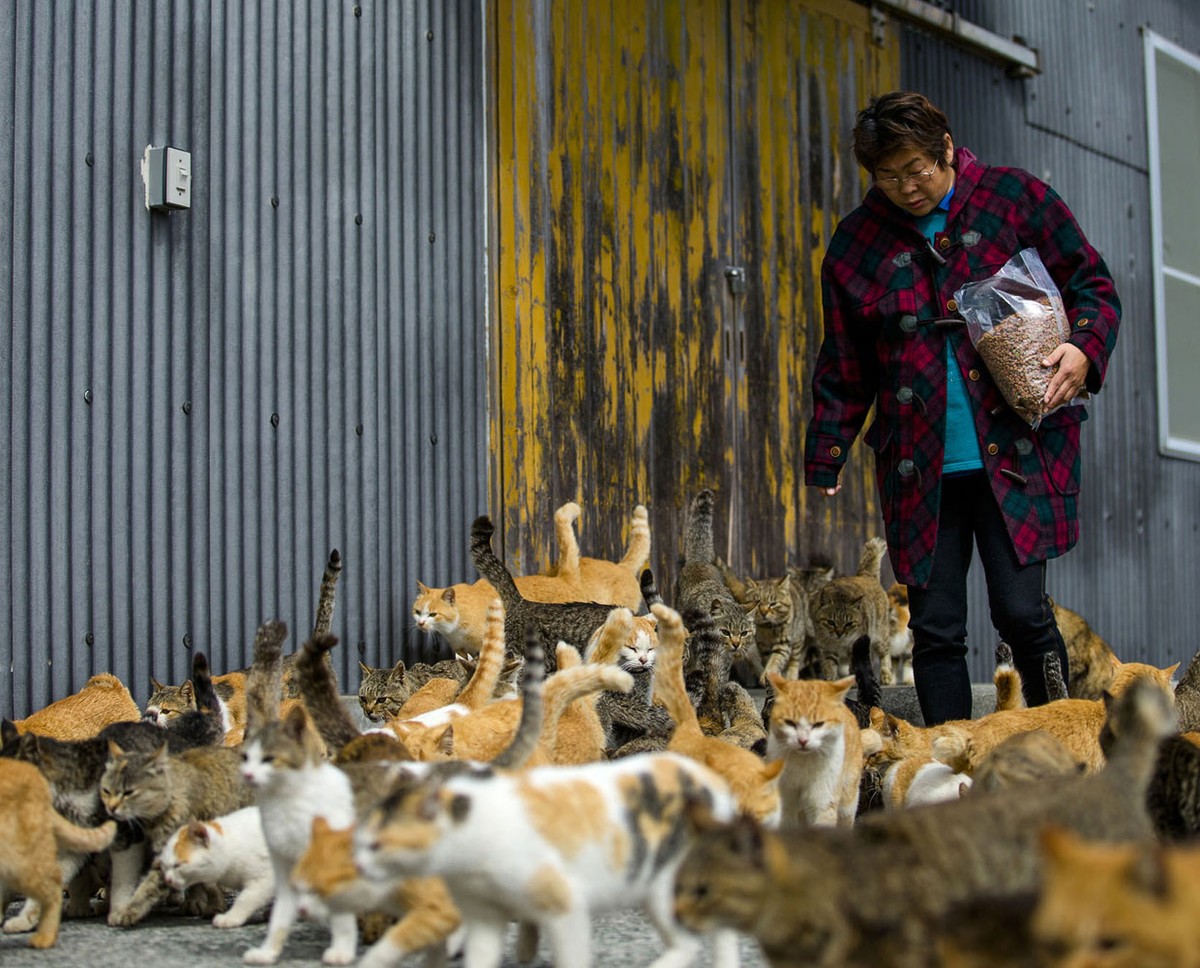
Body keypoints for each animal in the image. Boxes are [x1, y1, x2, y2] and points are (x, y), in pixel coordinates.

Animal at [763, 671, 868, 825]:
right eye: (790, 723)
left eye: (819, 724)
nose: (802, 740)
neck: (802, 763)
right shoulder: (785, 804)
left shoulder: (824, 802)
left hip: (847, 804)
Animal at [806, 537, 892, 690]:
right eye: (831, 622)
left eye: (849, 623)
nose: (839, 633)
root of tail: (865, 575)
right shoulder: (827, 648)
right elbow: (829, 666)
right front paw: (830, 681)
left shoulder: (856, 645)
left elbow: (854, 664)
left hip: (880, 636)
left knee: (885, 653)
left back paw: (885, 675)